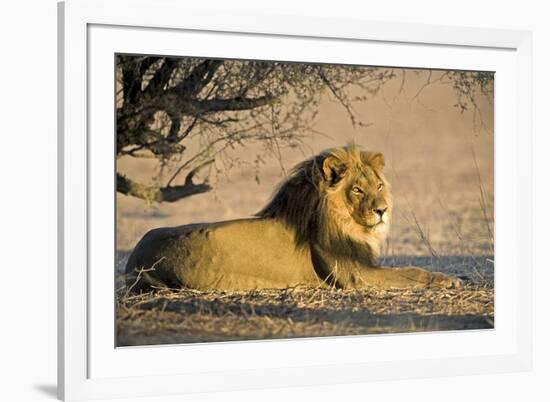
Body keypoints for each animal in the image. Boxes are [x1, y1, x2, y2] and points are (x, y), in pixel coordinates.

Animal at [124, 146, 462, 290]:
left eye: (378, 186)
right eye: (356, 189)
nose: (382, 210)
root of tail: (133, 260)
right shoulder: (356, 275)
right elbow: (411, 272)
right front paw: (450, 279)